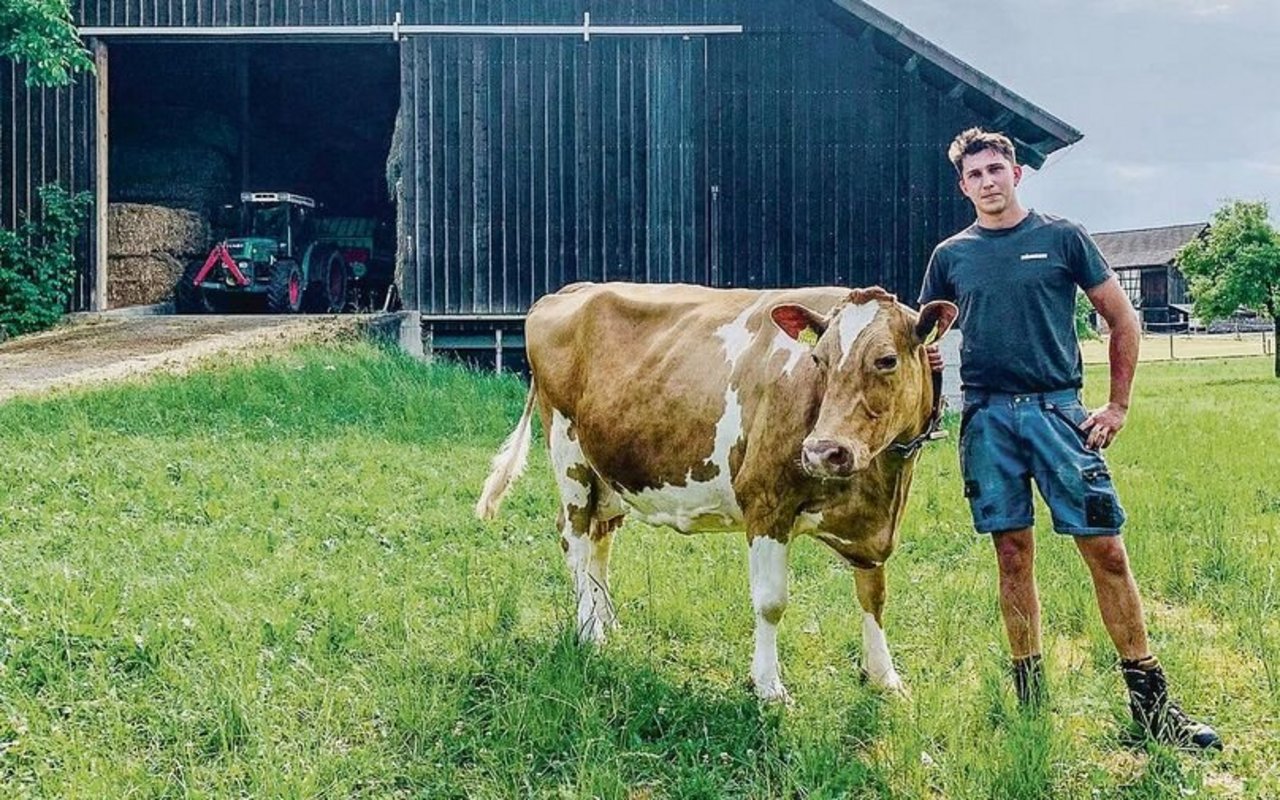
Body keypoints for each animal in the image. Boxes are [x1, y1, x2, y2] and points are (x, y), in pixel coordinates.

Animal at [476, 279, 957, 696]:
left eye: (887, 360)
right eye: (818, 360)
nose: (823, 451)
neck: (881, 485)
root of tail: (574, 289)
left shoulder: (872, 526)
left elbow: (873, 596)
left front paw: (884, 677)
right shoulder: (765, 502)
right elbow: (771, 602)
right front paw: (769, 687)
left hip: (607, 473)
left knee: (598, 542)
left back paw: (606, 621)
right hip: (567, 450)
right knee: (574, 541)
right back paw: (589, 631)